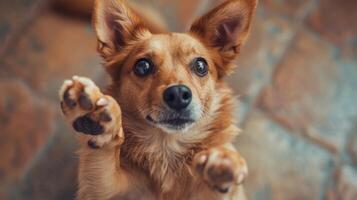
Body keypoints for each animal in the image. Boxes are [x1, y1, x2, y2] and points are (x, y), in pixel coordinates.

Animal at [59, 0, 258, 198]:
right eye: (142, 66)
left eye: (201, 65)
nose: (178, 94)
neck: (166, 148)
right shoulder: (101, 190)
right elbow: (102, 167)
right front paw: (94, 114)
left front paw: (225, 161)